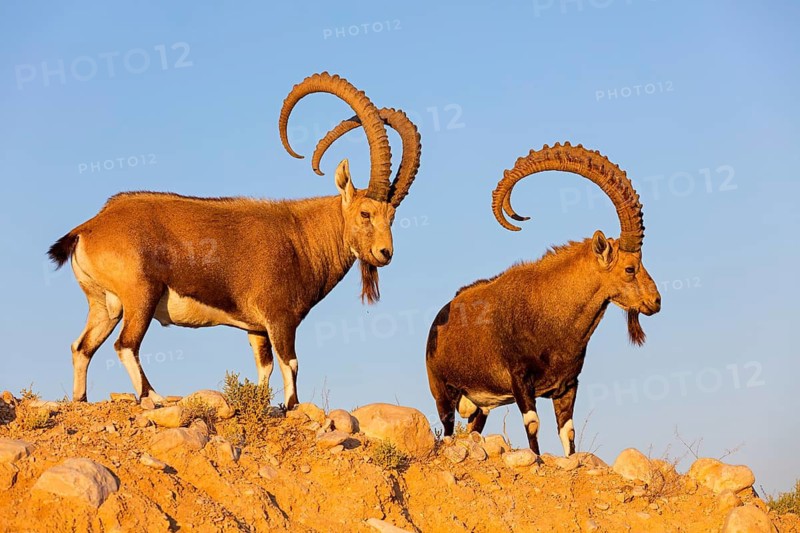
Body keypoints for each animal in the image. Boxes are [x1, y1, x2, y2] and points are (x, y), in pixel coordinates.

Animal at [48, 72, 422, 408]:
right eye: (365, 213)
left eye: (392, 217)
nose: (384, 253)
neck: (302, 236)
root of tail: (89, 228)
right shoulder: (279, 317)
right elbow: (290, 365)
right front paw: (292, 406)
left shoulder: (256, 328)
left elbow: (264, 368)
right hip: (140, 295)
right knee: (125, 345)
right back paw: (152, 397)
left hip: (105, 305)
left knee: (82, 347)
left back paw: (81, 399)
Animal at [425, 143, 661, 455]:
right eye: (630, 268)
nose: (656, 301)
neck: (553, 317)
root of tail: (439, 318)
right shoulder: (520, 380)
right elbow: (532, 425)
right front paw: (536, 459)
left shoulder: (567, 385)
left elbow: (568, 433)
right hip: (443, 391)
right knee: (448, 426)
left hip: (481, 407)